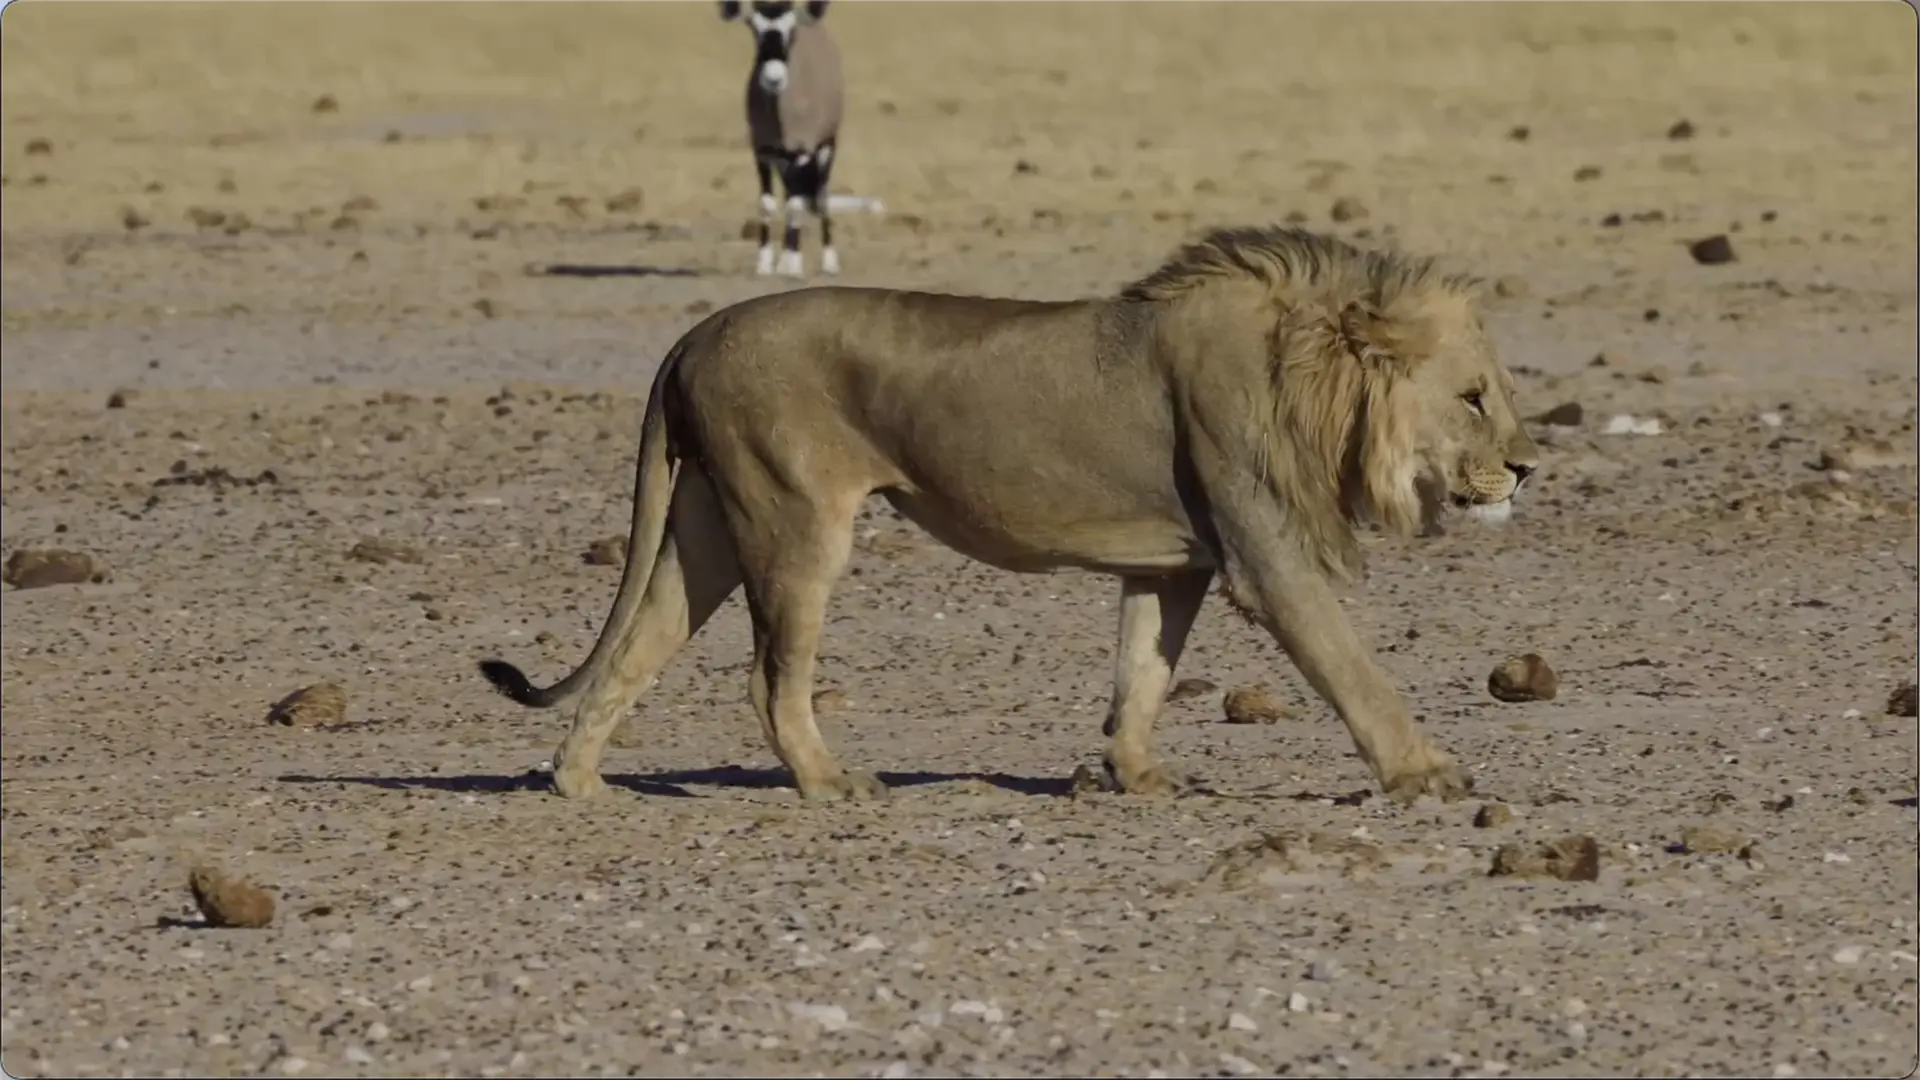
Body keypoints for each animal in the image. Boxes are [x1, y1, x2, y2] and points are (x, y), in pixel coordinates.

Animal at [478, 226, 1541, 804]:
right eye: (1474, 397)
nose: (1529, 468)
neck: (1311, 380)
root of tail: (693, 332)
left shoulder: (1173, 563)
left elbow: (1142, 673)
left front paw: (1135, 775)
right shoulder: (1263, 554)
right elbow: (1355, 670)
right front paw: (1426, 774)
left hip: (704, 522)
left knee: (637, 645)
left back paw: (578, 779)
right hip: (795, 521)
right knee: (769, 680)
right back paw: (829, 784)